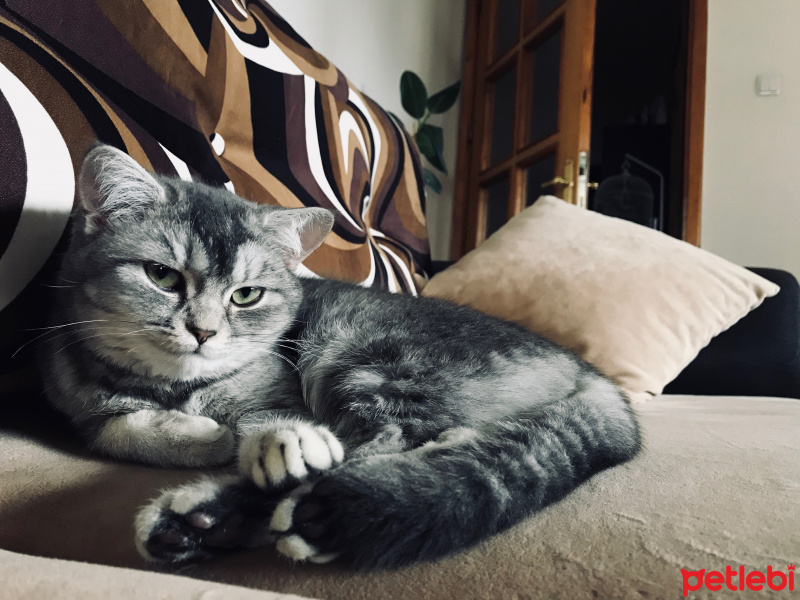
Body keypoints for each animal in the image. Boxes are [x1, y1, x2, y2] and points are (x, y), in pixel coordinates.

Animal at [39, 145, 644, 572]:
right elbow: (118, 427)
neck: (178, 387)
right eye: (162, 276)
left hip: (367, 360)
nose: (204, 331)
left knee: (403, 442)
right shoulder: (76, 397)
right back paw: (209, 524)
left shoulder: (280, 386)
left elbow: (258, 420)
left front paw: (254, 437)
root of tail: (593, 377)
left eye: (246, 295)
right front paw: (190, 430)